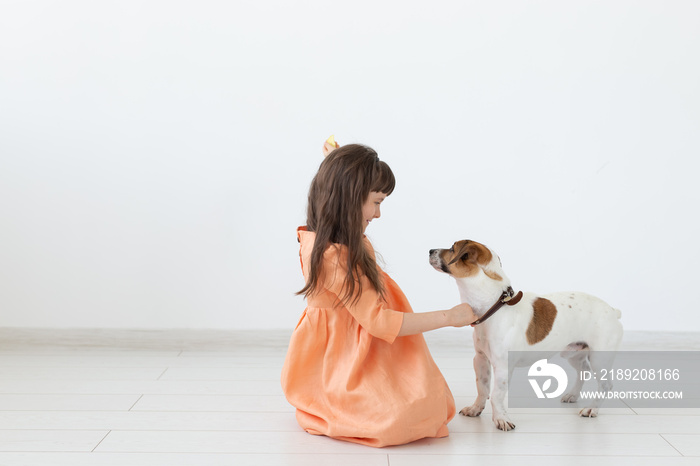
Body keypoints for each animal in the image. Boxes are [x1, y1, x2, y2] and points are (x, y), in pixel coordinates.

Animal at [426, 240, 624, 430]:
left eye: (452, 248)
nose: (430, 250)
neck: (495, 307)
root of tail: (612, 310)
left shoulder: (503, 367)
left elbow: (496, 395)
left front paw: (501, 419)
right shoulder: (480, 359)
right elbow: (482, 388)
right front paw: (476, 409)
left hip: (599, 358)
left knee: (605, 384)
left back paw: (592, 409)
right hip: (573, 354)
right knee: (583, 371)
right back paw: (573, 395)